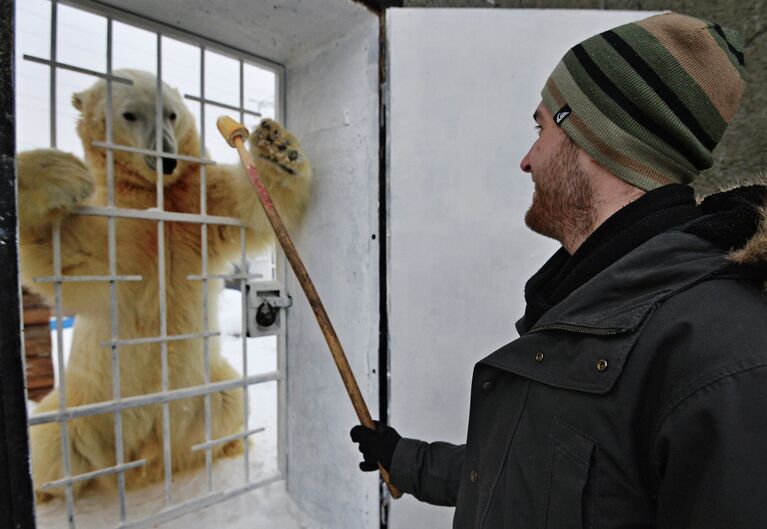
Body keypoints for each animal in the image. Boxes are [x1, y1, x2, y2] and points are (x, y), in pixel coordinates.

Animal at [18, 68, 312, 498]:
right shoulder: (122, 227)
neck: (157, 196)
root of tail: (150, 459)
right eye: (129, 114)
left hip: (206, 390)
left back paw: (228, 446)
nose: (168, 159)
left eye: (172, 113)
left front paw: (279, 147)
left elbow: (250, 205)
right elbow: (69, 252)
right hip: (87, 408)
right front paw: (57, 173)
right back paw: (49, 490)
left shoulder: (196, 206)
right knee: (52, 441)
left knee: (231, 398)